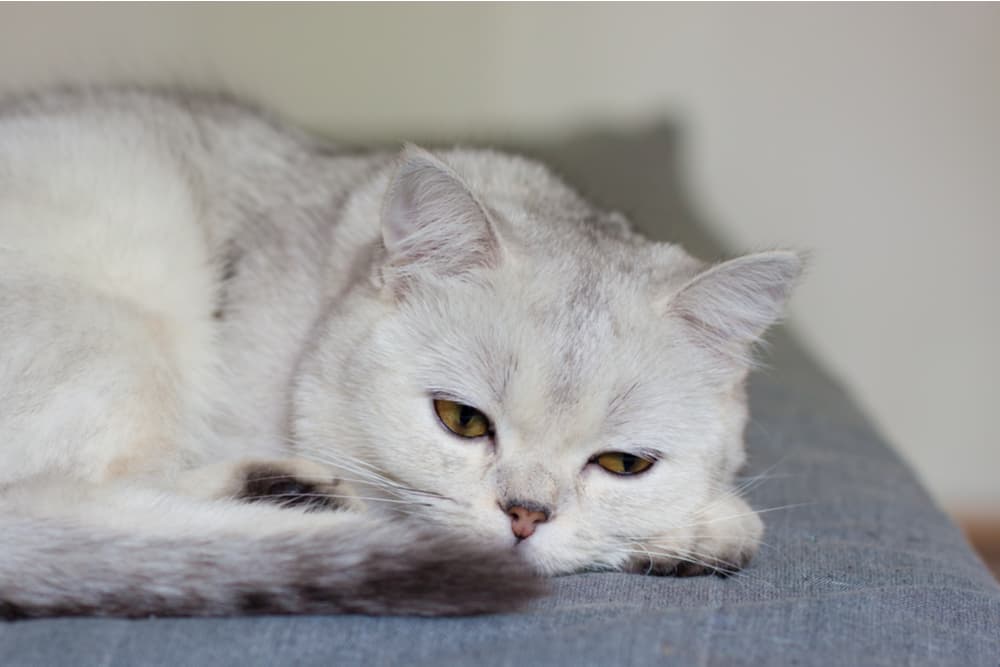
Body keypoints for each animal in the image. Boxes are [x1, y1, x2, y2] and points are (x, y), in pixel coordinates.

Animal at [0, 90, 800, 620]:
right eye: (462, 420)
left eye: (623, 464)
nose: (524, 516)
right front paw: (708, 527)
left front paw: (690, 530)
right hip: (125, 338)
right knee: (75, 503)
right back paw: (294, 498)